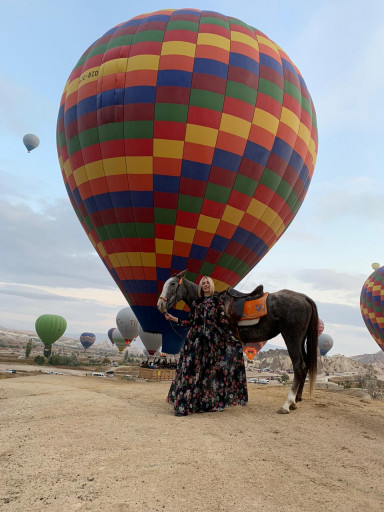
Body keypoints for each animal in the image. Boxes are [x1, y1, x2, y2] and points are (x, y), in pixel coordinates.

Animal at [158, 270, 320, 414]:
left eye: (172, 283)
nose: (160, 304)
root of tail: (304, 297)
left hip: (291, 337)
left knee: (299, 366)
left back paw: (286, 404)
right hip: (300, 340)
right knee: (305, 366)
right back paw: (295, 401)